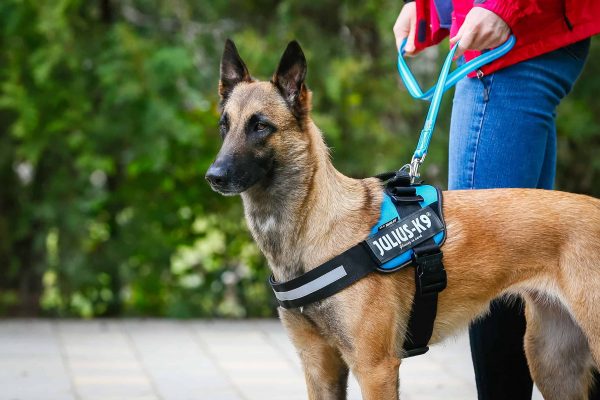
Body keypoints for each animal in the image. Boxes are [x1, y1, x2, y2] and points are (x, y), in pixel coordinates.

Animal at [206, 38, 600, 400]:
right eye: (224, 126)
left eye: (260, 126)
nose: (214, 176)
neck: (310, 225)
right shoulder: (319, 366)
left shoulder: (375, 368)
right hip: (551, 363)